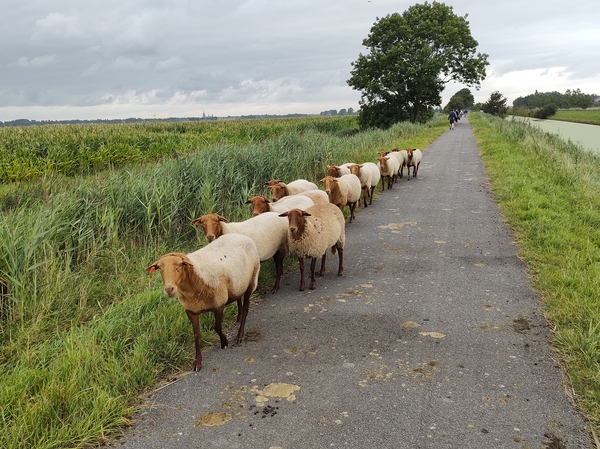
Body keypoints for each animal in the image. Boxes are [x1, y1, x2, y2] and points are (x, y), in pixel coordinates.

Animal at [146, 233, 260, 370]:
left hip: (252, 280)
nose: (169, 289)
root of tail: (240, 235)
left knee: (246, 307)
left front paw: (224, 342)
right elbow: (197, 335)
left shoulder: (219, 304)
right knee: (239, 300)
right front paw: (198, 361)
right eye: (160, 269)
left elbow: (217, 327)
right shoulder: (191, 310)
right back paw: (239, 317)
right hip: (238, 284)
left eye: (179, 267)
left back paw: (240, 335)